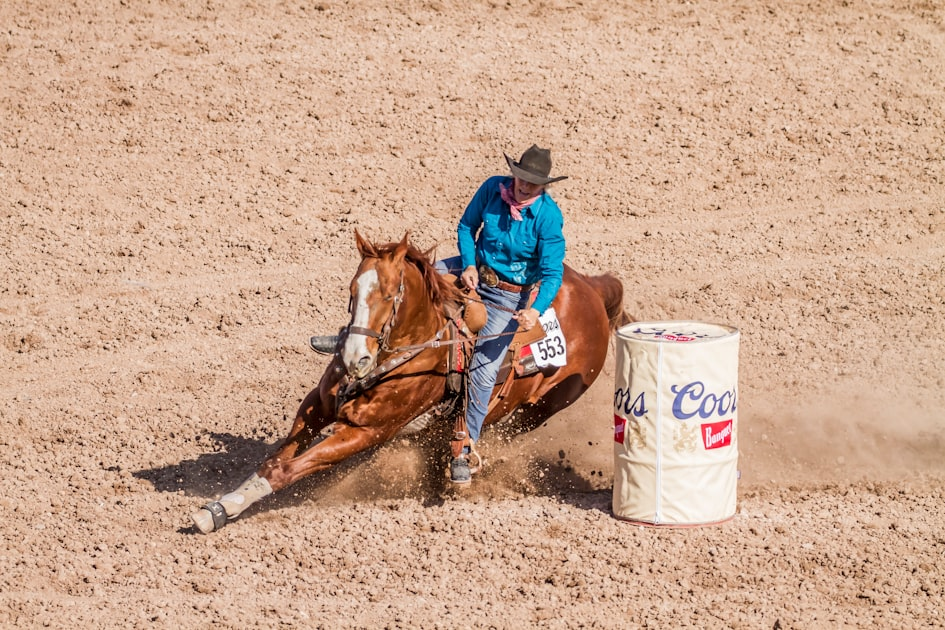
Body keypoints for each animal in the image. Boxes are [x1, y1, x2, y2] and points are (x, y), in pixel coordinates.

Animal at [192, 231, 631, 533]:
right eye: (352, 290)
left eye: (389, 295)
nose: (353, 357)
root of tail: (593, 289)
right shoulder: (317, 406)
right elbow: (274, 461)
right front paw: (223, 504)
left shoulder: (365, 431)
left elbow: (288, 469)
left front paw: (225, 510)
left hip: (538, 410)